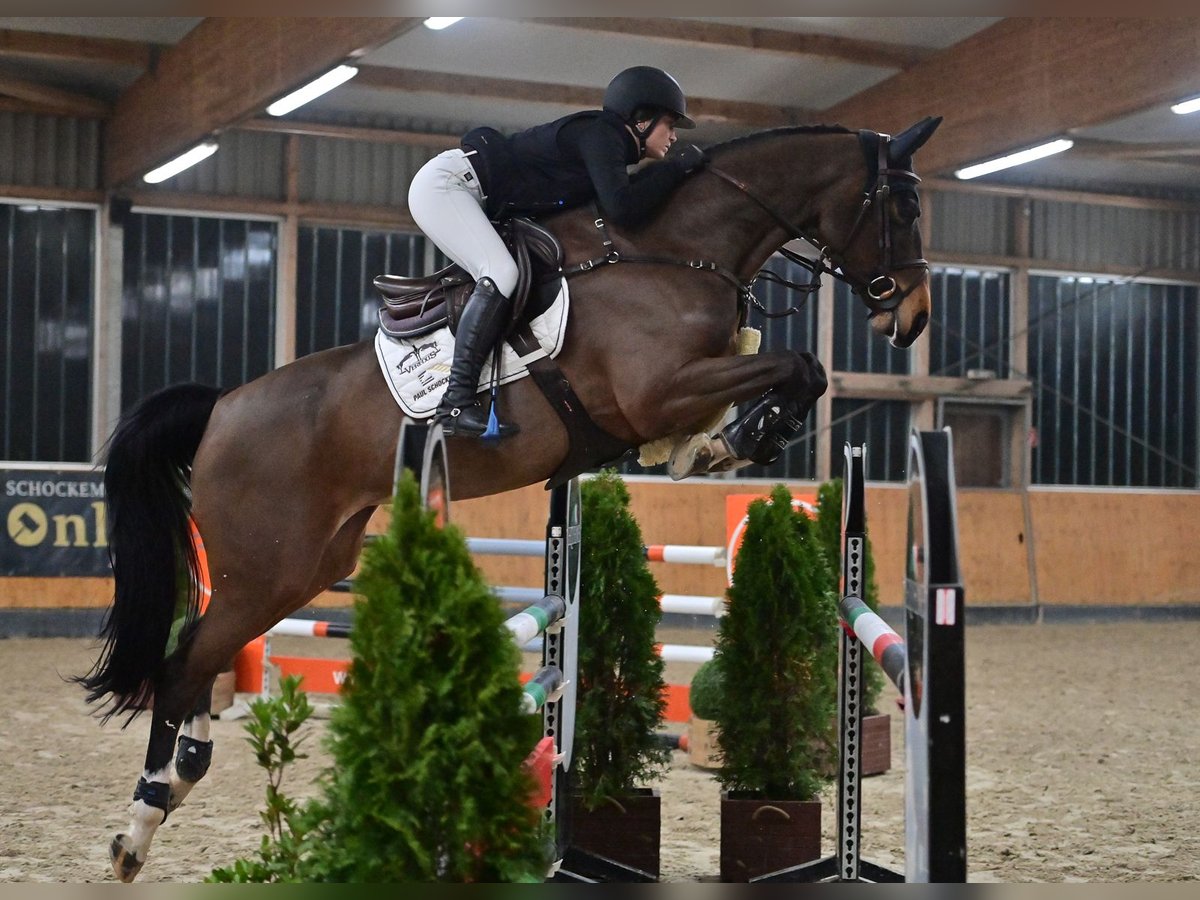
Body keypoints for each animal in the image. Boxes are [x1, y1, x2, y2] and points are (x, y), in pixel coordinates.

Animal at [82, 116, 945, 883]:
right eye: (903, 207)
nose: (913, 318)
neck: (672, 250)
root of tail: (221, 409)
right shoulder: (659, 389)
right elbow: (798, 365)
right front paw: (739, 436)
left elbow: (800, 371)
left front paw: (727, 442)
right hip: (268, 567)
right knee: (181, 663)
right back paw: (138, 827)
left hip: (302, 566)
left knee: (199, 654)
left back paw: (181, 774)